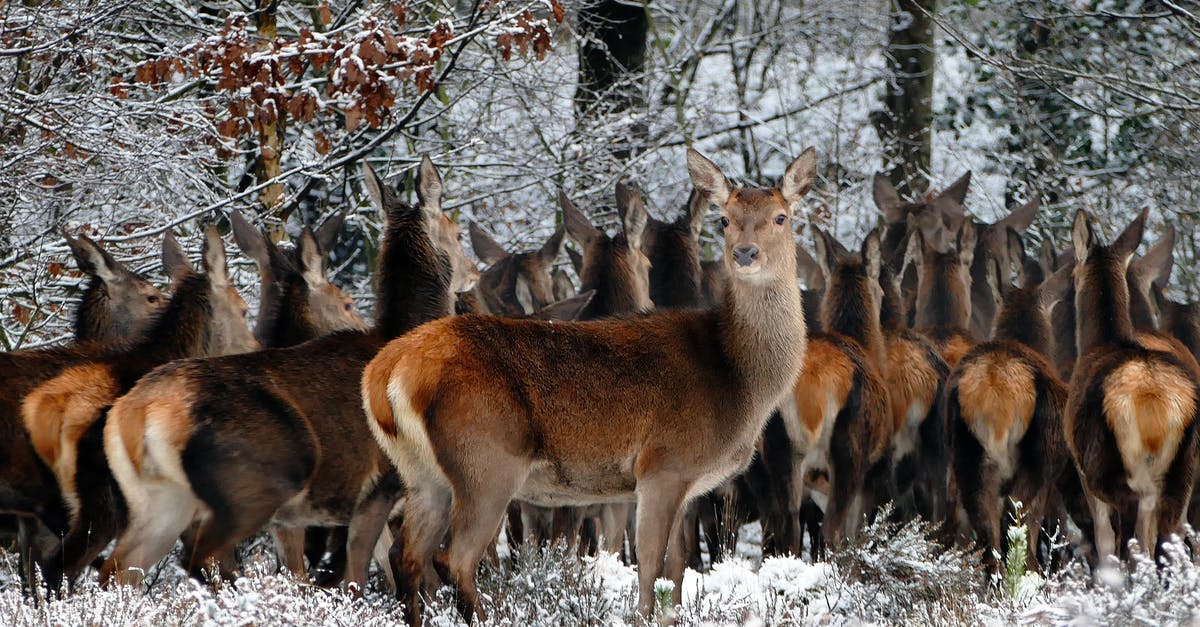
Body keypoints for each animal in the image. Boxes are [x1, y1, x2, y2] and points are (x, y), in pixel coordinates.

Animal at [96, 154, 470, 590]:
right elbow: (359, 579)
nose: (474, 273)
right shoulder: (378, 489)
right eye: (459, 232)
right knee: (201, 557)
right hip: (257, 480)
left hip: (157, 498)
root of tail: (141, 410)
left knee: (117, 570)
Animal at [364, 146, 811, 619]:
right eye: (724, 219)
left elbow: (676, 570)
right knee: (453, 558)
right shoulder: (663, 464)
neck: (737, 379)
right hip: (485, 460)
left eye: (781, 216)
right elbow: (649, 567)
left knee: (404, 555)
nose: (745, 253)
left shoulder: (687, 484)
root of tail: (386, 370)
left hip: (422, 473)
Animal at [945, 227, 1070, 574]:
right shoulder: (1051, 477)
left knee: (987, 538)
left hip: (967, 458)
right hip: (1032, 464)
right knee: (1014, 526)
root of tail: (994, 393)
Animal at [1065, 207, 1195, 559]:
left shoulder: (1084, 472)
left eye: (1072, 272)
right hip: (1182, 476)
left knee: (1131, 547)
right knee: (1171, 542)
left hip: (1117, 473)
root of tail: (1156, 409)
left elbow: (1104, 541)